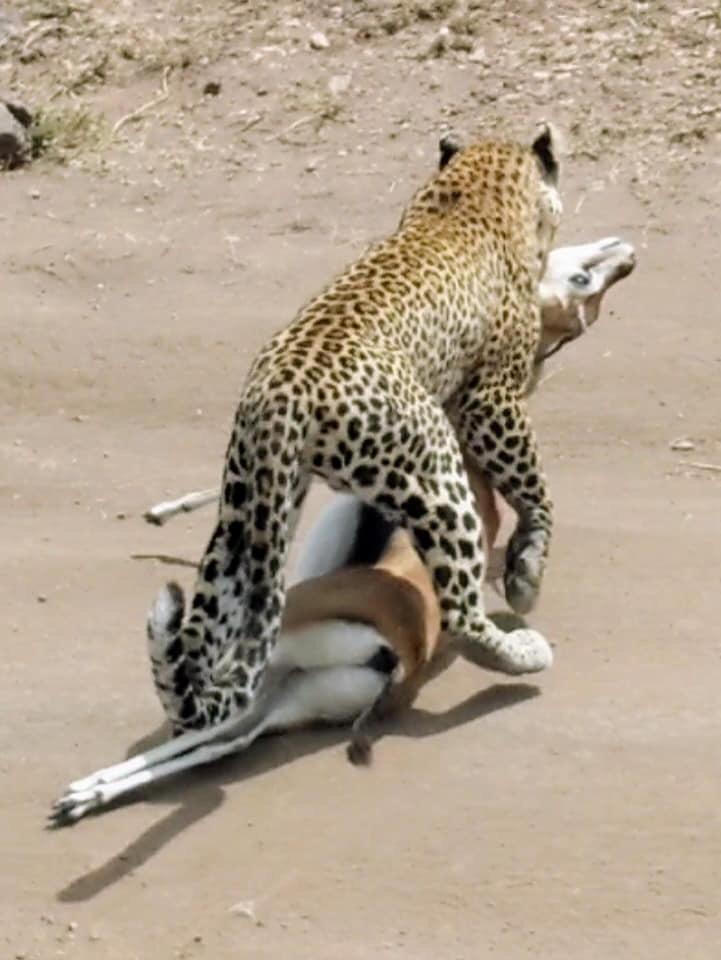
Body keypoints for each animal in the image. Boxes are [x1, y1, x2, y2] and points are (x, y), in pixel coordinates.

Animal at [147, 123, 564, 736]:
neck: (470, 191)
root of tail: (282, 398)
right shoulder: (492, 399)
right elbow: (533, 484)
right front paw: (527, 570)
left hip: (246, 513)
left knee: (200, 640)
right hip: (434, 475)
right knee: (458, 609)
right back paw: (521, 654)